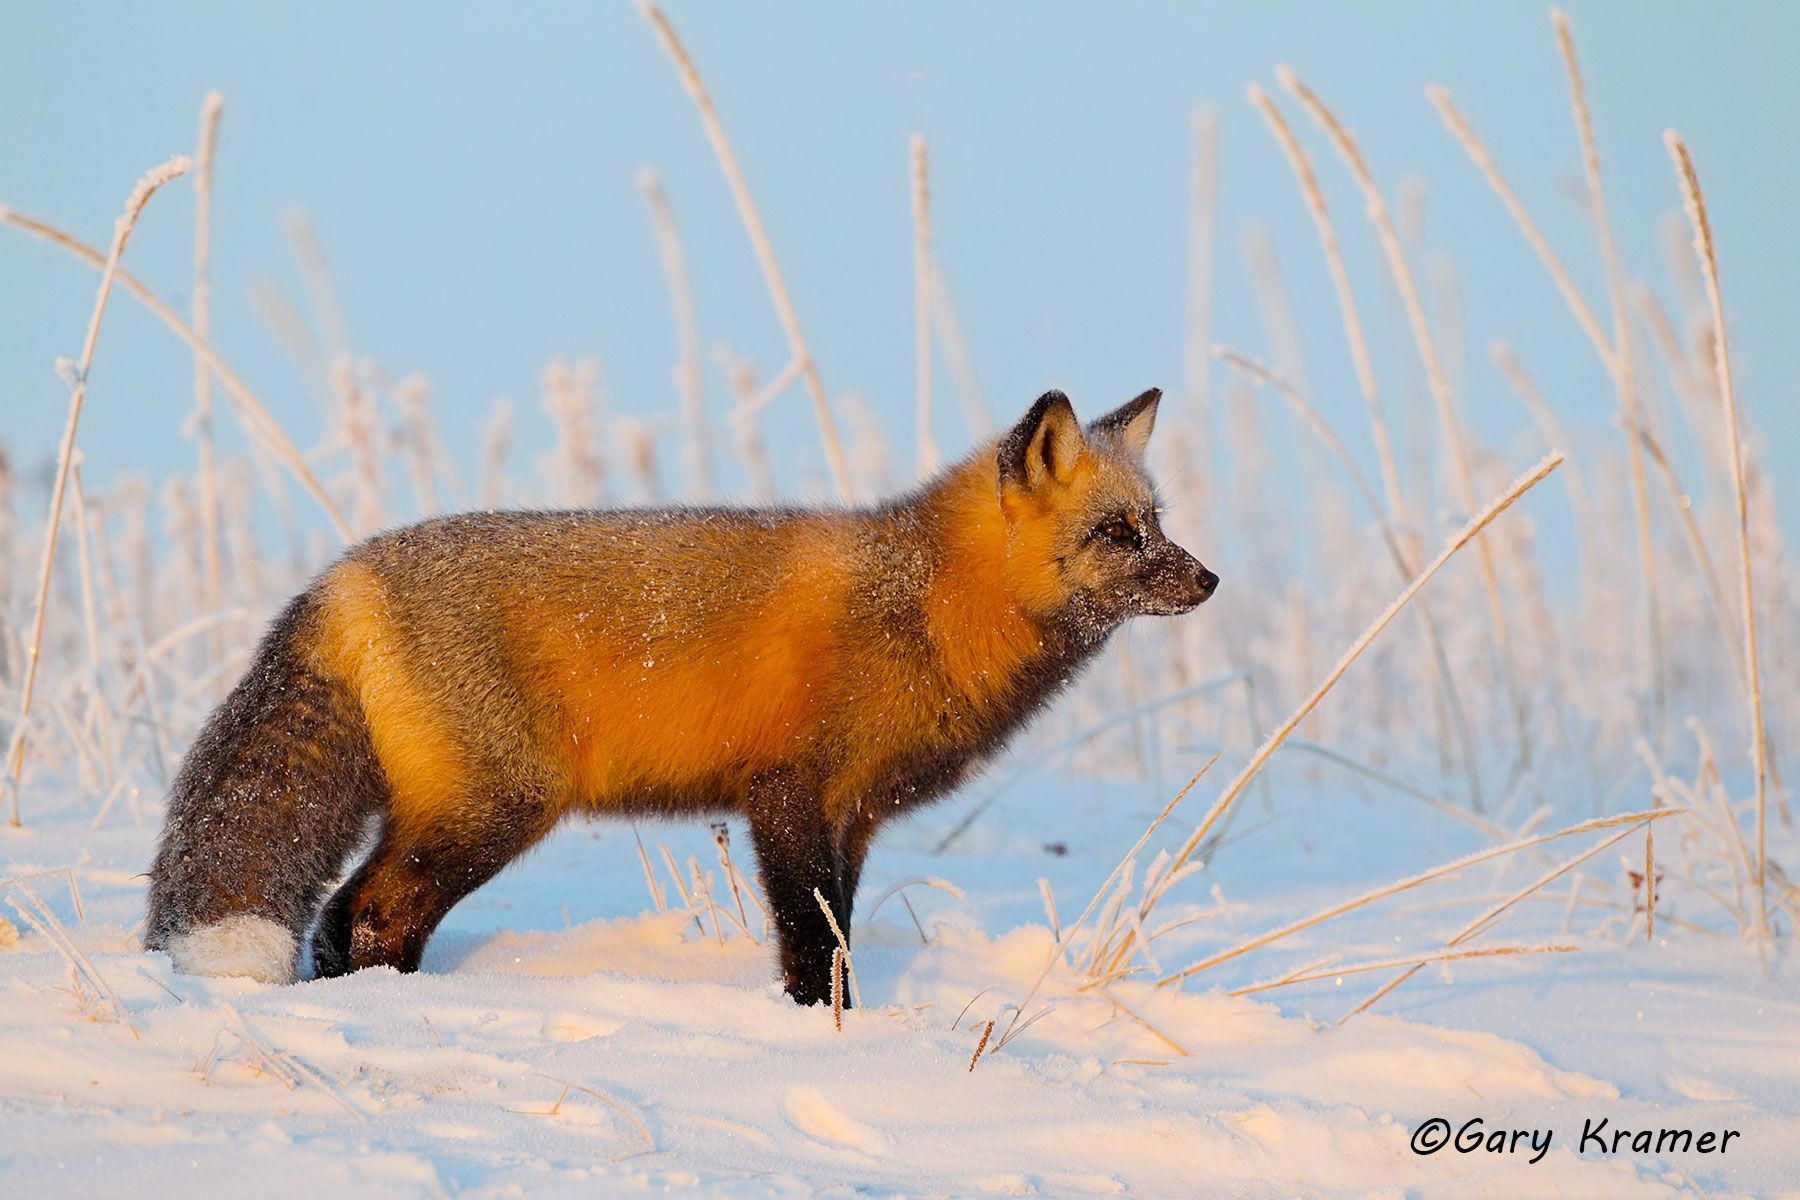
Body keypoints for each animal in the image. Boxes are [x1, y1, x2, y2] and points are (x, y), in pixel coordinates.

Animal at [144, 387, 1217, 1005]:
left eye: (1157, 522)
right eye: (1119, 533)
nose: (1207, 581)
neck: (927, 605)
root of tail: (344, 573)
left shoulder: (855, 817)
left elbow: (840, 936)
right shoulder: (790, 799)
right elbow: (812, 947)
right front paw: (827, 1036)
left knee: (348, 917)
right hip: (493, 811)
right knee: (367, 914)